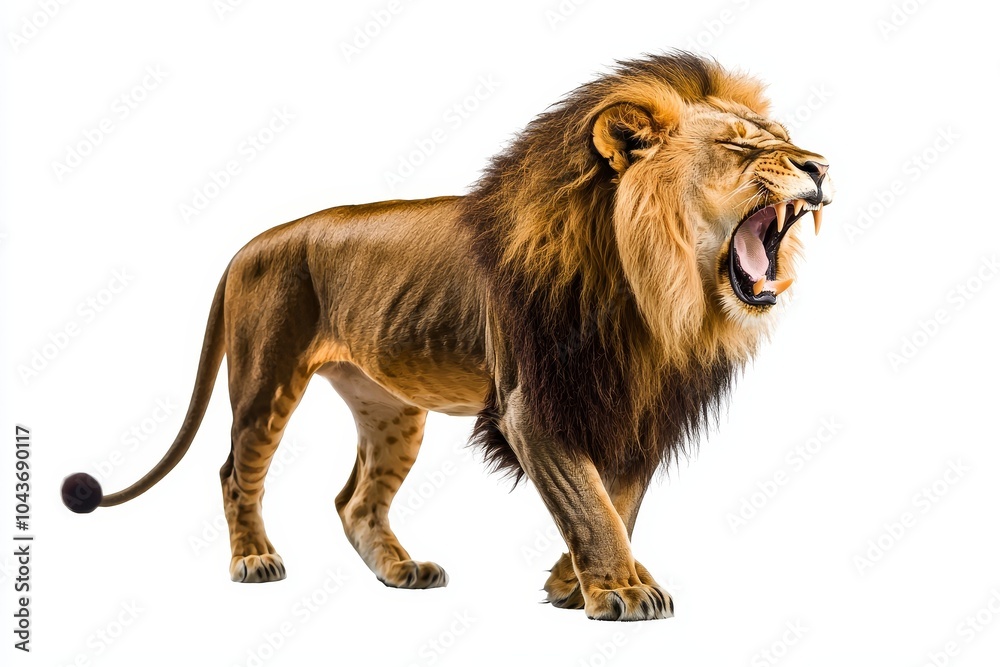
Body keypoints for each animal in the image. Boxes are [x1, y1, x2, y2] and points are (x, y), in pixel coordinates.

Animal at [62, 52, 834, 621]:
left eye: (785, 139)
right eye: (741, 146)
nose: (821, 166)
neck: (655, 295)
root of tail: (247, 246)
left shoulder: (636, 407)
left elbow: (619, 500)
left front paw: (576, 583)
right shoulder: (533, 405)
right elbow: (591, 503)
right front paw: (617, 589)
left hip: (391, 408)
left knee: (354, 500)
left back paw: (402, 570)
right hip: (265, 376)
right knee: (234, 470)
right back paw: (253, 559)